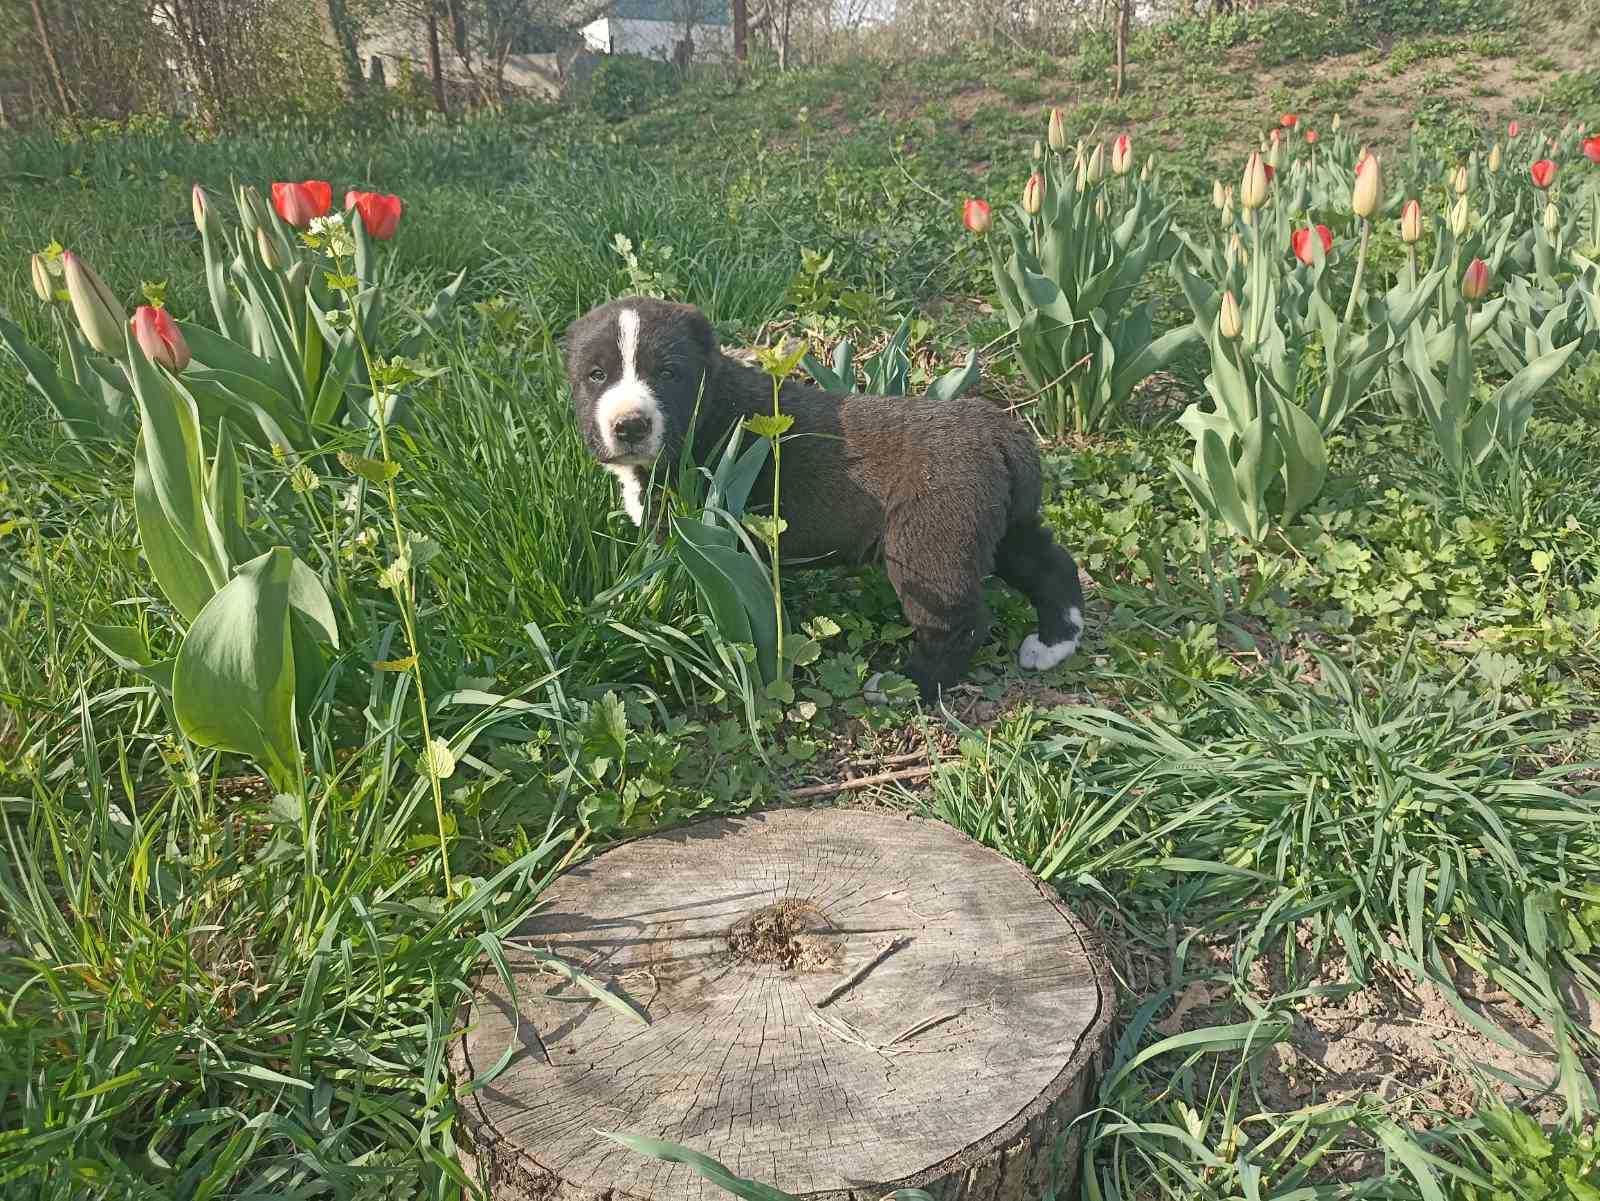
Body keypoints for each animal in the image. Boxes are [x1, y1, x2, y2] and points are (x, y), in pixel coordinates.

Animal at [566, 294, 1088, 700]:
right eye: (596, 375)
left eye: (669, 373)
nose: (629, 425)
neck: (712, 402)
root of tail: (999, 430)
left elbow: (658, 580)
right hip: (1000, 524)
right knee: (1050, 563)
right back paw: (1054, 643)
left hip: (930, 544)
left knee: (959, 621)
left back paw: (905, 685)